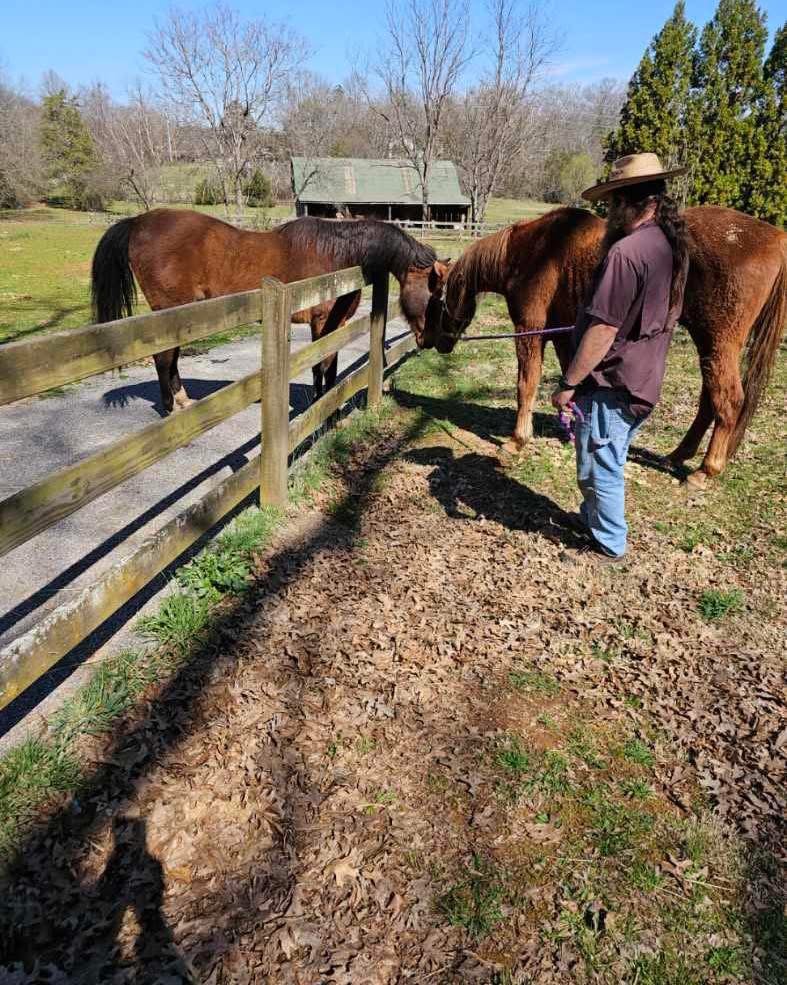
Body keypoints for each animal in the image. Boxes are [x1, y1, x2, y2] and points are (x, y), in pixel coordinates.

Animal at [90, 209, 445, 414]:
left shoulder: (338, 321)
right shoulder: (321, 321)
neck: (339, 254)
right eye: (434, 295)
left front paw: (329, 401)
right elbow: (320, 364)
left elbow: (330, 363)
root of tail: (138, 222)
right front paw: (319, 404)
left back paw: (183, 401)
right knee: (164, 358)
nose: (431, 341)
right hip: (169, 314)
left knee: (171, 359)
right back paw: (171, 409)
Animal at [416, 206, 787, 485]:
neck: (532, 250)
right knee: (710, 401)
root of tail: (776, 237)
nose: (425, 340)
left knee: (729, 401)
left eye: (434, 300)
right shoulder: (564, 335)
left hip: (718, 343)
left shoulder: (529, 332)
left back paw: (705, 471)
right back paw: (680, 455)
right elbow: (570, 379)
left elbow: (526, 384)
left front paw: (518, 439)